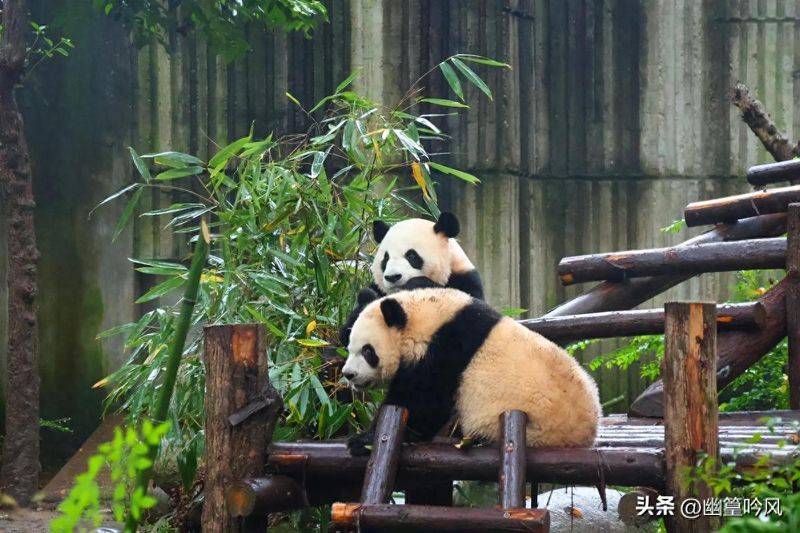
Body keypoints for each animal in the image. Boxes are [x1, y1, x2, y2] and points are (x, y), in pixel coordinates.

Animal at [339, 212, 484, 346]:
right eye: (386, 258)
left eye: (411, 256)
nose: (393, 277)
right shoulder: (379, 289)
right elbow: (347, 333)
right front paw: (368, 298)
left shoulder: (465, 280)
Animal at [342, 287, 601, 455]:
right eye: (349, 346)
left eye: (368, 351)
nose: (348, 374)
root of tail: (586, 436)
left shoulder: (446, 349)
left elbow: (422, 402)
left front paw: (362, 441)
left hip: (531, 427)